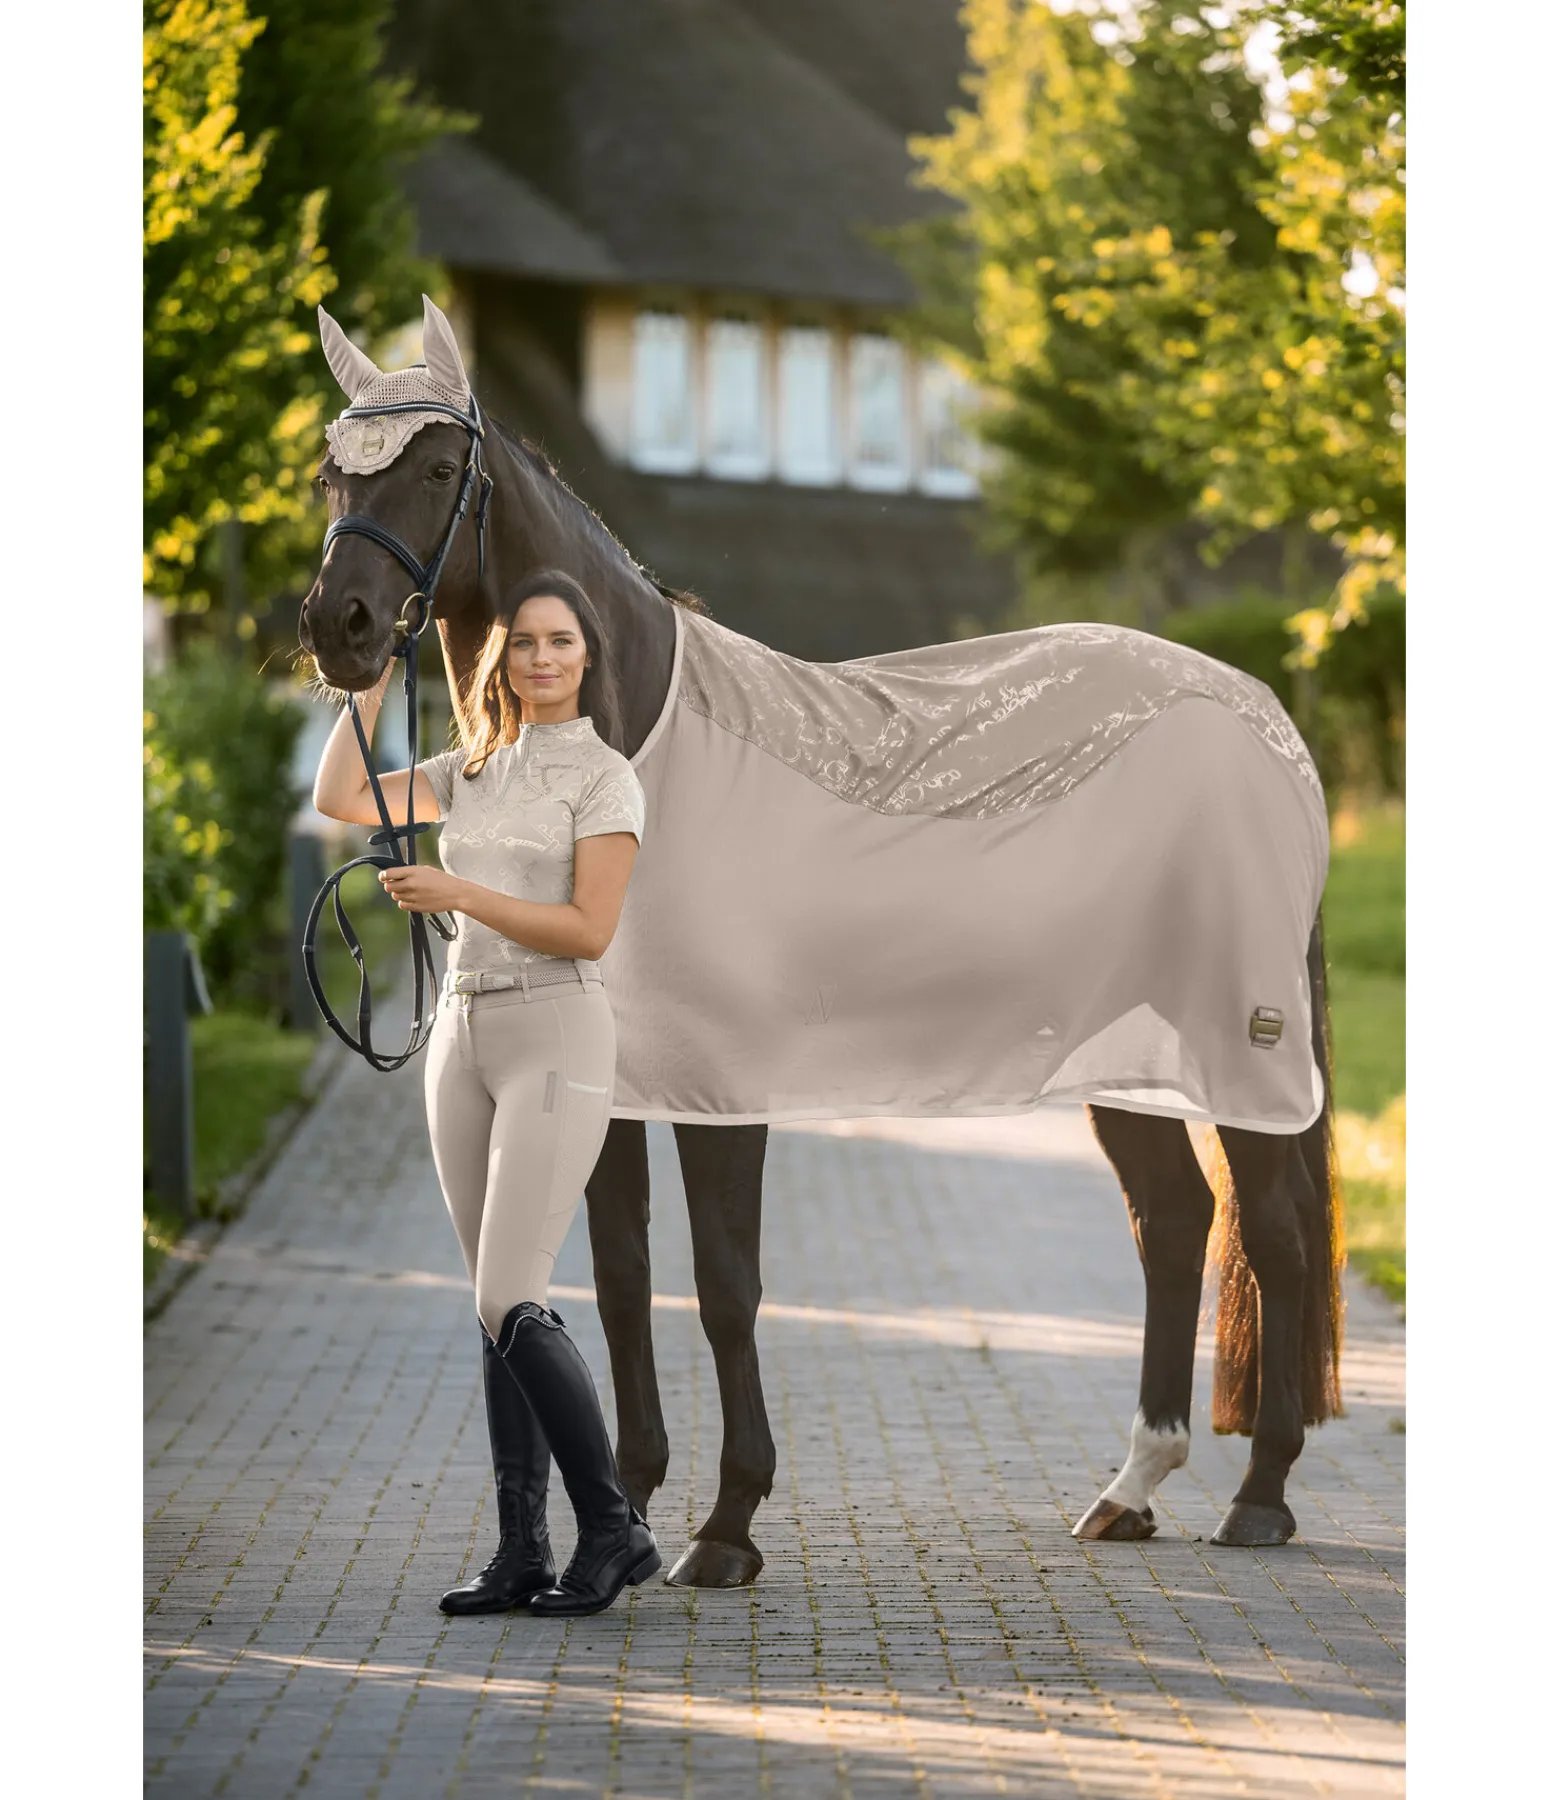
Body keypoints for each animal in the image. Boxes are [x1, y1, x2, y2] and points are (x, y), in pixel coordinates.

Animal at [299, 304, 1342, 1588]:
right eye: (330, 473)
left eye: (442, 469)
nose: (337, 628)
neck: (632, 744)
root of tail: (1268, 724)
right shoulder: (615, 1084)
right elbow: (621, 1274)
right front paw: (634, 1504)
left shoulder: (719, 1088)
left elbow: (723, 1284)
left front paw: (726, 1526)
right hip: (1120, 1049)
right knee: (1173, 1222)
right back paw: (1131, 1487)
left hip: (1241, 1047)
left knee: (1275, 1231)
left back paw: (1260, 1494)